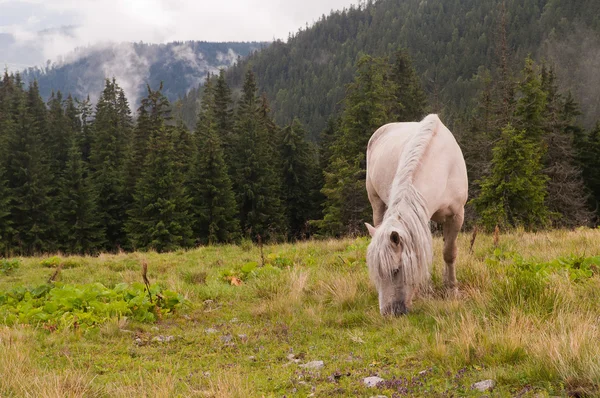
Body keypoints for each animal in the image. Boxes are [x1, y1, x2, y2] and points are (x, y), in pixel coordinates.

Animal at [366, 113, 468, 316]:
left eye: (396, 270)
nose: (388, 313)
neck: (443, 167)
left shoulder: (456, 215)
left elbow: (449, 253)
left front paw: (451, 289)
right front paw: (425, 289)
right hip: (376, 202)